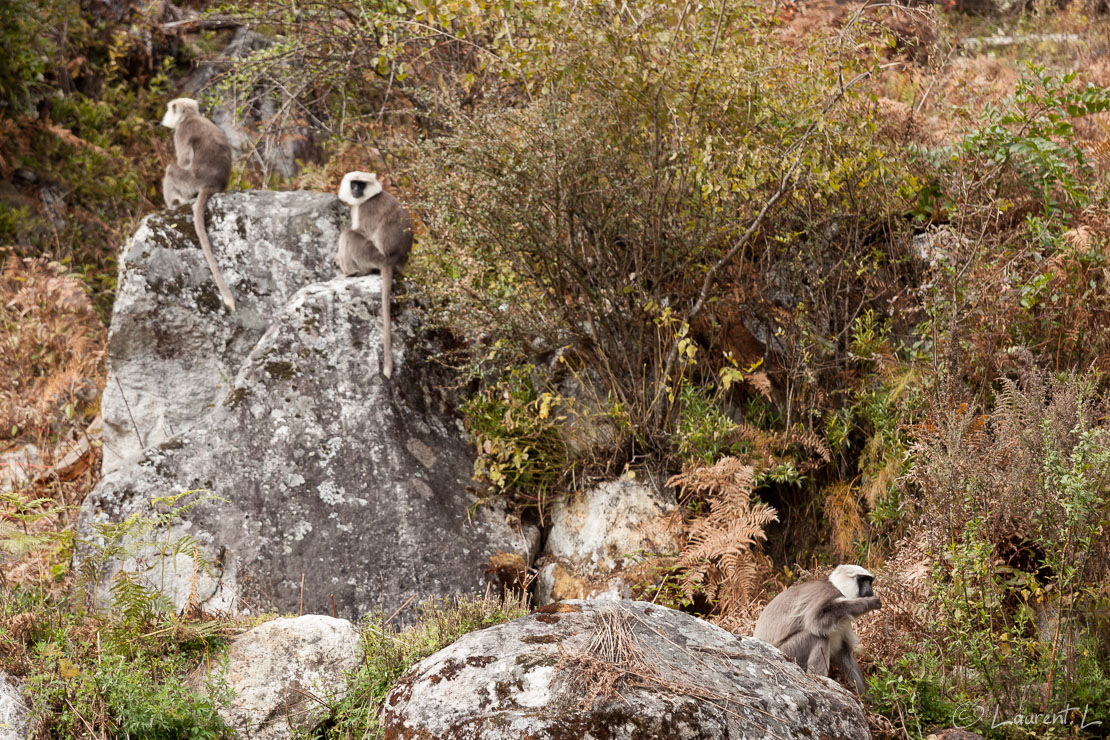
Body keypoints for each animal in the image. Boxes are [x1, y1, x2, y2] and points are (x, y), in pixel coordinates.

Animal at [159, 97, 235, 310]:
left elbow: (183, 161)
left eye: (169, 110)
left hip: (189, 182)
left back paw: (174, 204)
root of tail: (212, 184)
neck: (190, 118)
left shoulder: (181, 133)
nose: (164, 117)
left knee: (171, 170)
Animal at [335, 171, 415, 379]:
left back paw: (351, 273)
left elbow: (360, 232)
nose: (355, 189)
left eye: (361, 184)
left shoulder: (366, 208)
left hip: (372, 255)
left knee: (348, 235)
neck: (370, 196)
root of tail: (391, 261)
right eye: (353, 183)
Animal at [754, 563, 883, 696]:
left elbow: (842, 652)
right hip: (788, 652)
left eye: (870, 581)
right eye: (863, 580)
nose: (870, 589)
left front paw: (868, 696)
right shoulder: (829, 592)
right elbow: (815, 622)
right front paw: (868, 603)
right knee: (817, 636)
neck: (836, 585)